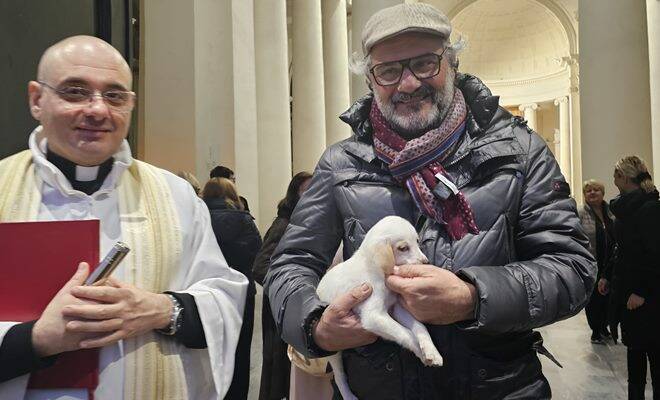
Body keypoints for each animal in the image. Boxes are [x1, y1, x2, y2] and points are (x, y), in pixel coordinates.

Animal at [316, 216, 440, 400]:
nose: (427, 263)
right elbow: (404, 332)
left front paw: (431, 351)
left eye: (417, 242)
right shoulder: (373, 316)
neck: (377, 270)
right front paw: (419, 350)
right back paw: (349, 396)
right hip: (334, 349)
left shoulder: (395, 308)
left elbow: (419, 326)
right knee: (339, 377)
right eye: (403, 248)